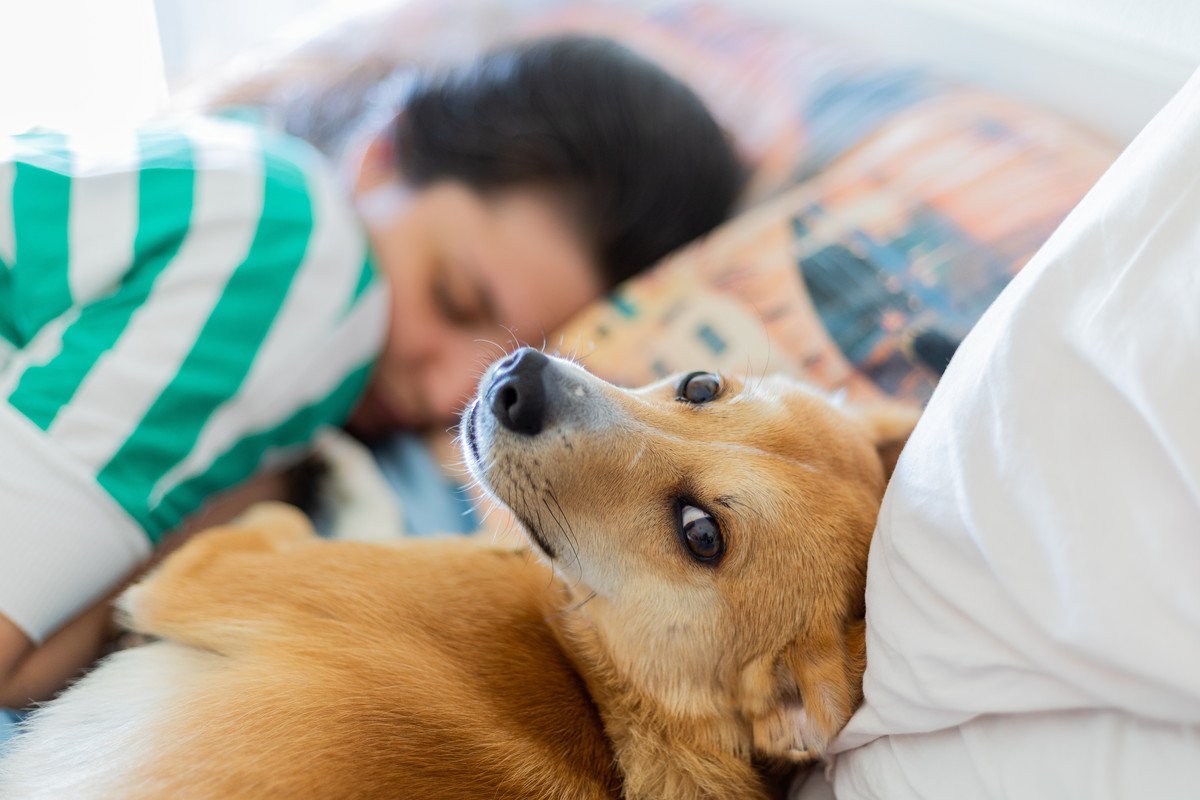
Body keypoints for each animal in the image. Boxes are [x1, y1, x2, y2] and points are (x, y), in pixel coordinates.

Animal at [2, 350, 916, 800]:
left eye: (701, 534)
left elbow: (285, 521)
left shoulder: (218, 569)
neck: (597, 683)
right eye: (700, 385)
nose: (519, 379)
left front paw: (326, 459)